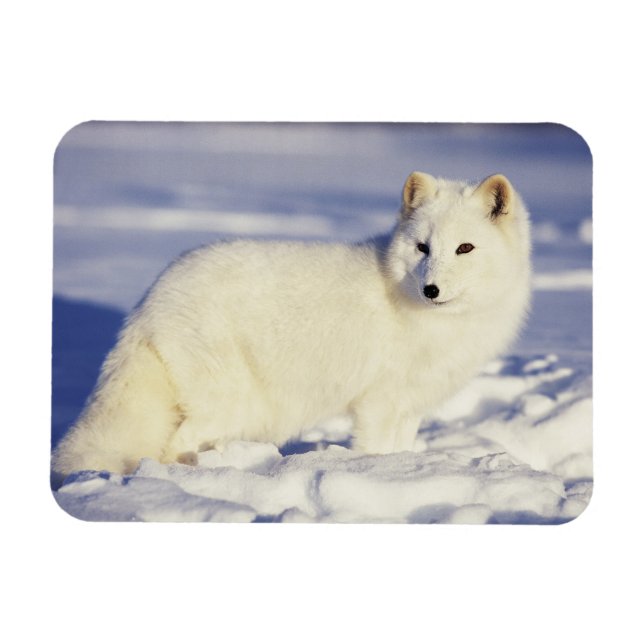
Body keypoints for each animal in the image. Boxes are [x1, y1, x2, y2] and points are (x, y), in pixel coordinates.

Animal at [51, 172, 531, 484]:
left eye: (465, 248)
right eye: (422, 247)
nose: (431, 289)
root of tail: (151, 299)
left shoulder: (409, 404)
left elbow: (401, 446)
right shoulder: (377, 403)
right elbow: (376, 449)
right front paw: (382, 476)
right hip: (231, 402)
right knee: (174, 446)